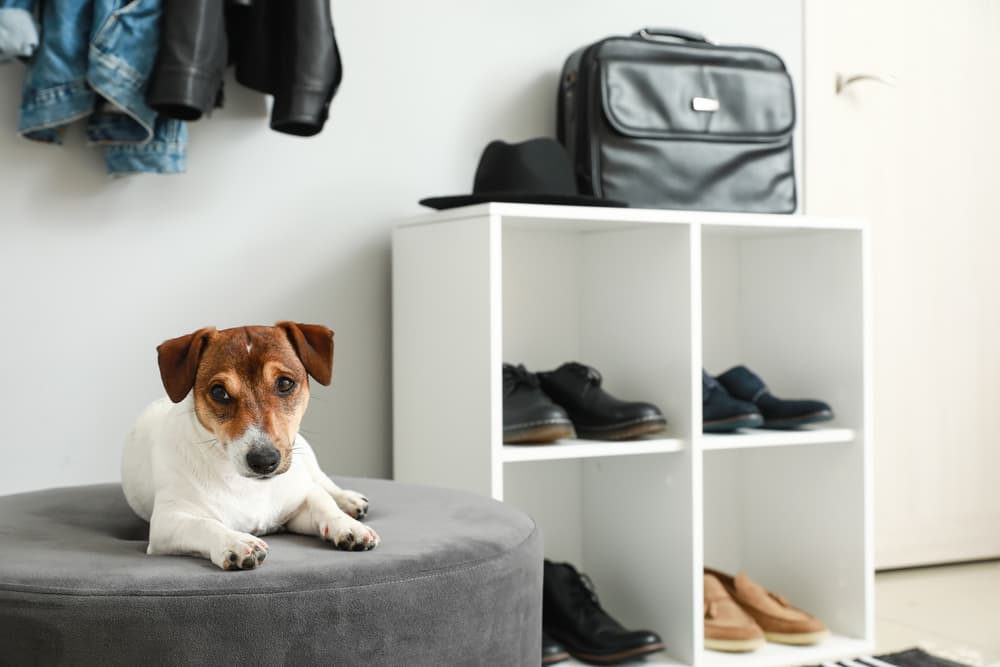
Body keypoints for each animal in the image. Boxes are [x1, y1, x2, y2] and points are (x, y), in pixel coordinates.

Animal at [120, 320, 378, 572]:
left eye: (285, 383)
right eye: (219, 392)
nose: (264, 460)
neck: (248, 485)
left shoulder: (297, 502)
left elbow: (322, 502)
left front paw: (347, 526)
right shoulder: (168, 521)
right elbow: (204, 524)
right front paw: (235, 542)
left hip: (306, 460)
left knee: (322, 482)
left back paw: (348, 500)